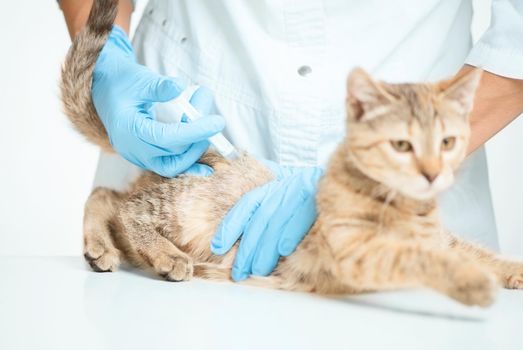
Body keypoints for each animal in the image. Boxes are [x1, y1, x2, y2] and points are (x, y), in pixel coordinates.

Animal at [61, 0, 523, 306]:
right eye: (402, 145)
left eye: (447, 142)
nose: (431, 173)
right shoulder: (352, 254)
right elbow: (418, 260)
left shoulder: (444, 240)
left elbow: (478, 253)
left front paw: (510, 271)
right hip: (189, 203)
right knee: (122, 207)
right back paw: (158, 255)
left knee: (109, 199)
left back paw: (103, 248)